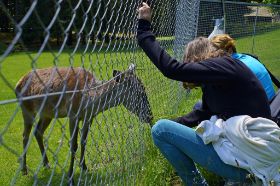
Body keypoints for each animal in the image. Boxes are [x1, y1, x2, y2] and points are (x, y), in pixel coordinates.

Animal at [15, 65, 153, 185]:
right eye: (139, 92)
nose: (150, 116)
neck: (89, 100)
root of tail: (18, 83)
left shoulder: (88, 117)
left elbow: (84, 141)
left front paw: (84, 167)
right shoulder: (73, 114)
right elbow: (73, 145)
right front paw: (70, 178)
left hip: (47, 113)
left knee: (38, 131)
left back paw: (46, 164)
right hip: (26, 108)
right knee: (25, 135)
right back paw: (24, 169)